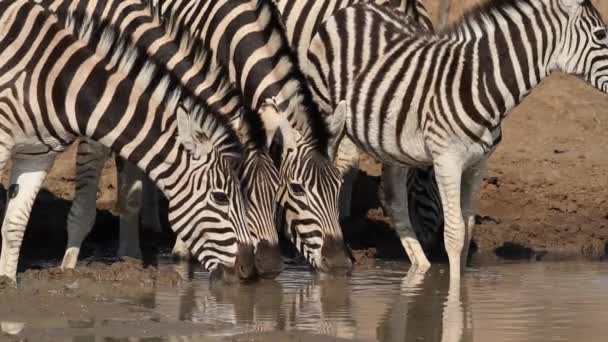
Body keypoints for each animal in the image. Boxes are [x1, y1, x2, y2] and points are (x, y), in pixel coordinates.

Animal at [0, 0, 255, 282]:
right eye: (220, 198)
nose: (248, 269)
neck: (61, 82)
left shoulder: (37, 156)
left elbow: (14, 223)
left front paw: (8, 281)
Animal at [306, 0, 608, 278]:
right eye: (601, 34)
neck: (482, 85)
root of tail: (355, 8)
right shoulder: (447, 159)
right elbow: (454, 233)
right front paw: (451, 295)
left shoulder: (478, 163)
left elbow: (468, 227)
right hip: (328, 114)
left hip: (393, 143)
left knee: (393, 198)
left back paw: (421, 265)